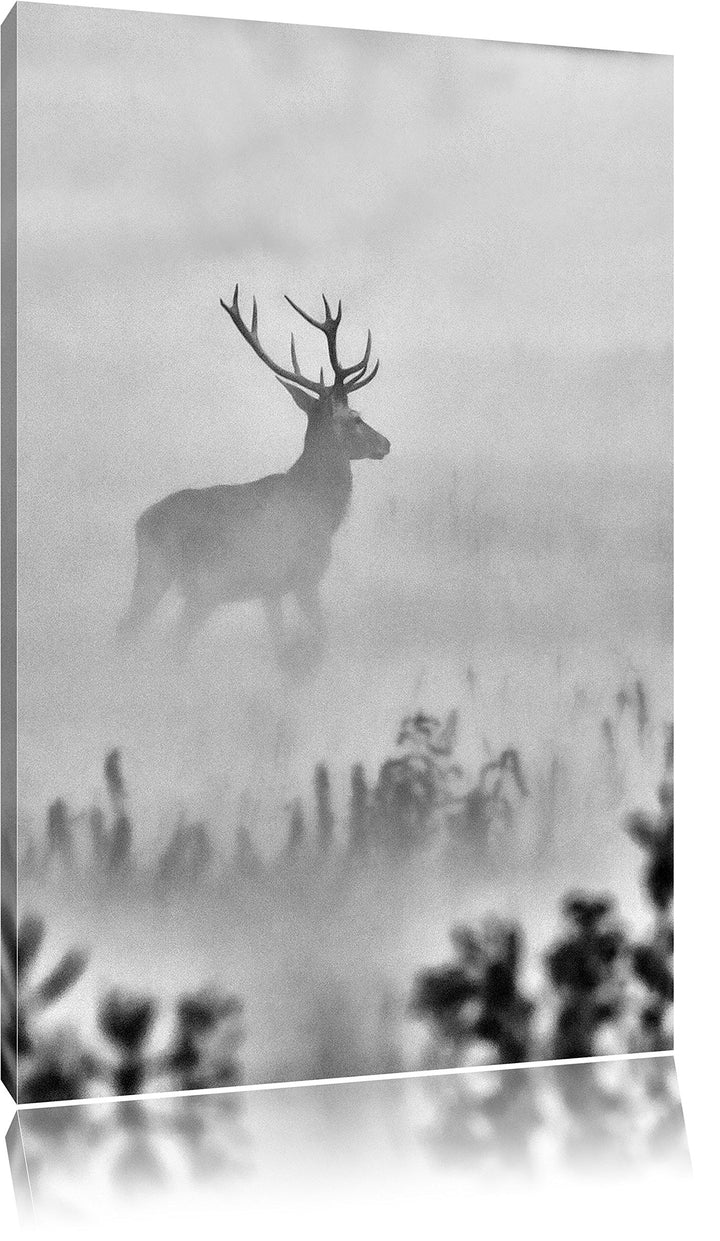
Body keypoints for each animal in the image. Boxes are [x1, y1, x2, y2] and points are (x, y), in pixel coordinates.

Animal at [117, 287, 390, 661]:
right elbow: (318, 638)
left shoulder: (269, 589)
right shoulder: (300, 576)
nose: (386, 443)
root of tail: (140, 523)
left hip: (185, 587)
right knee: (139, 633)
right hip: (174, 576)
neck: (320, 508)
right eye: (356, 418)